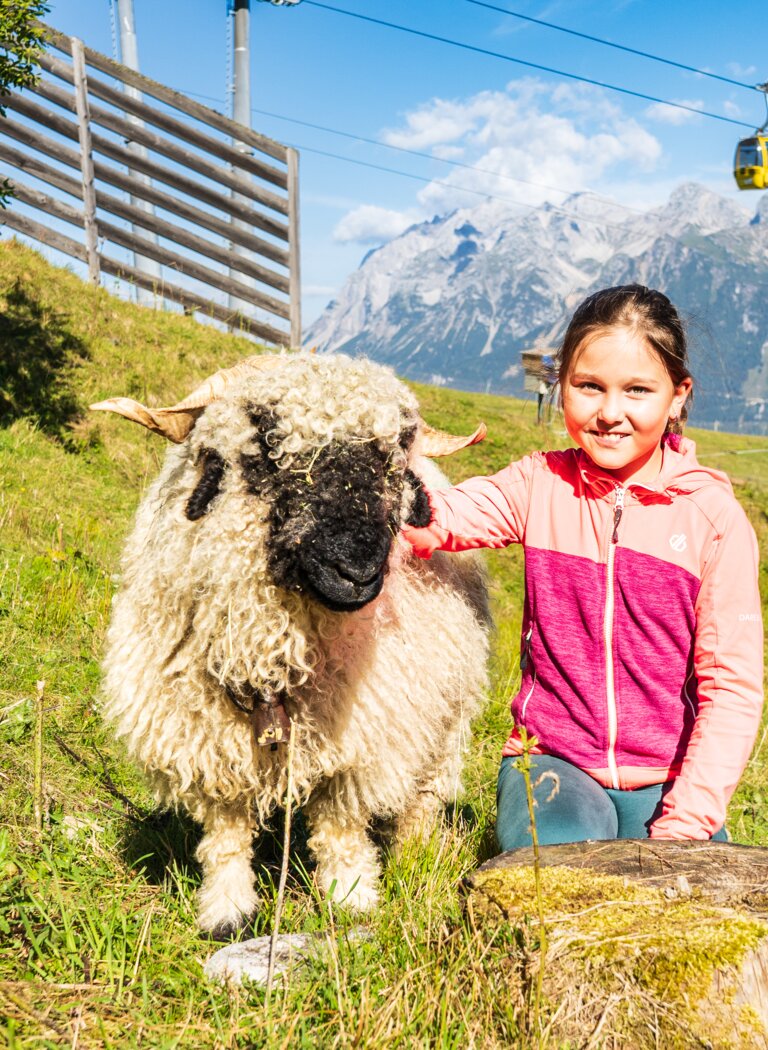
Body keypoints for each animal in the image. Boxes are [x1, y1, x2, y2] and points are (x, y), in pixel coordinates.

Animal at [92, 353, 491, 938]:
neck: (272, 654)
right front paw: (227, 911)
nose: (358, 570)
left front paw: (351, 896)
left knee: (425, 793)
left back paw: (417, 850)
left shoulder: (363, 738)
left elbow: (341, 823)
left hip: (446, 713)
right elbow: (226, 833)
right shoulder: (204, 740)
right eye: (265, 447)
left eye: (394, 458)